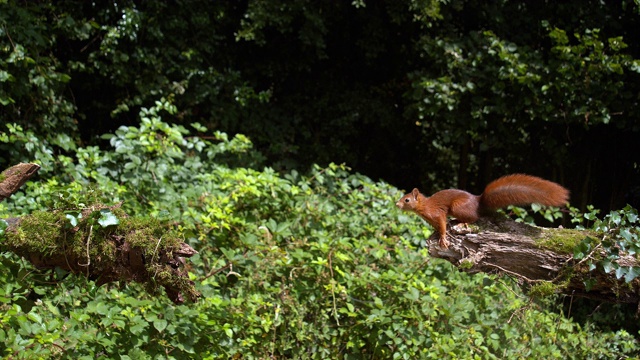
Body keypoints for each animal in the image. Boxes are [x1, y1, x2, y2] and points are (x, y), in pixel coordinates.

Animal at [396, 174, 568, 248]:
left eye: (407, 200)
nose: (396, 204)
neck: (424, 207)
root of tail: (478, 201)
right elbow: (438, 227)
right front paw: (437, 233)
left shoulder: (437, 213)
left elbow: (443, 224)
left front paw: (443, 238)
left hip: (457, 207)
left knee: (474, 218)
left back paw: (462, 222)